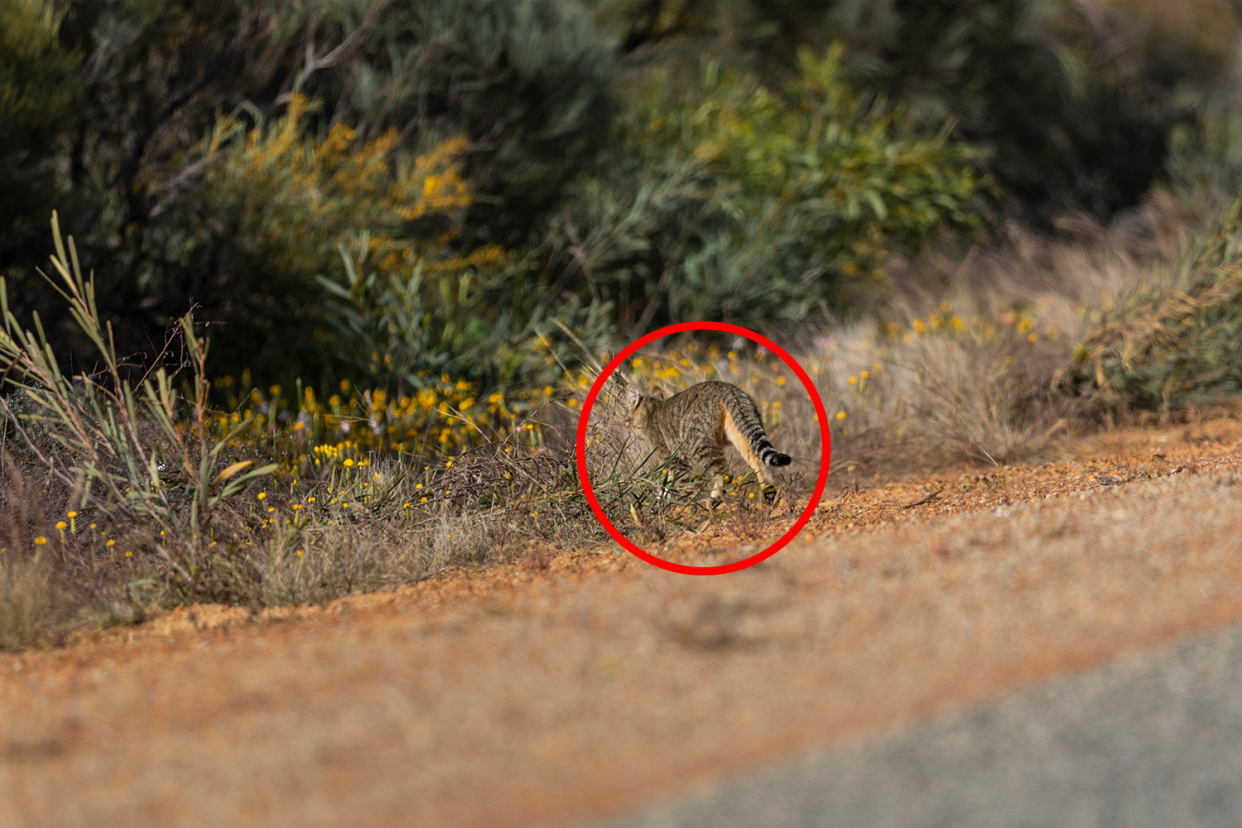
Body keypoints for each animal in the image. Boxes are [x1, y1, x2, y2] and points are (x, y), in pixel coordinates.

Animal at [625, 379, 789, 501]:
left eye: (626, 419)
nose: (626, 426)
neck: (652, 411)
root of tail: (728, 390)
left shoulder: (673, 459)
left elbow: (681, 485)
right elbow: (667, 486)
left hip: (698, 442)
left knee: (725, 475)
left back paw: (712, 502)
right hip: (742, 433)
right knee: (760, 464)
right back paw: (768, 496)